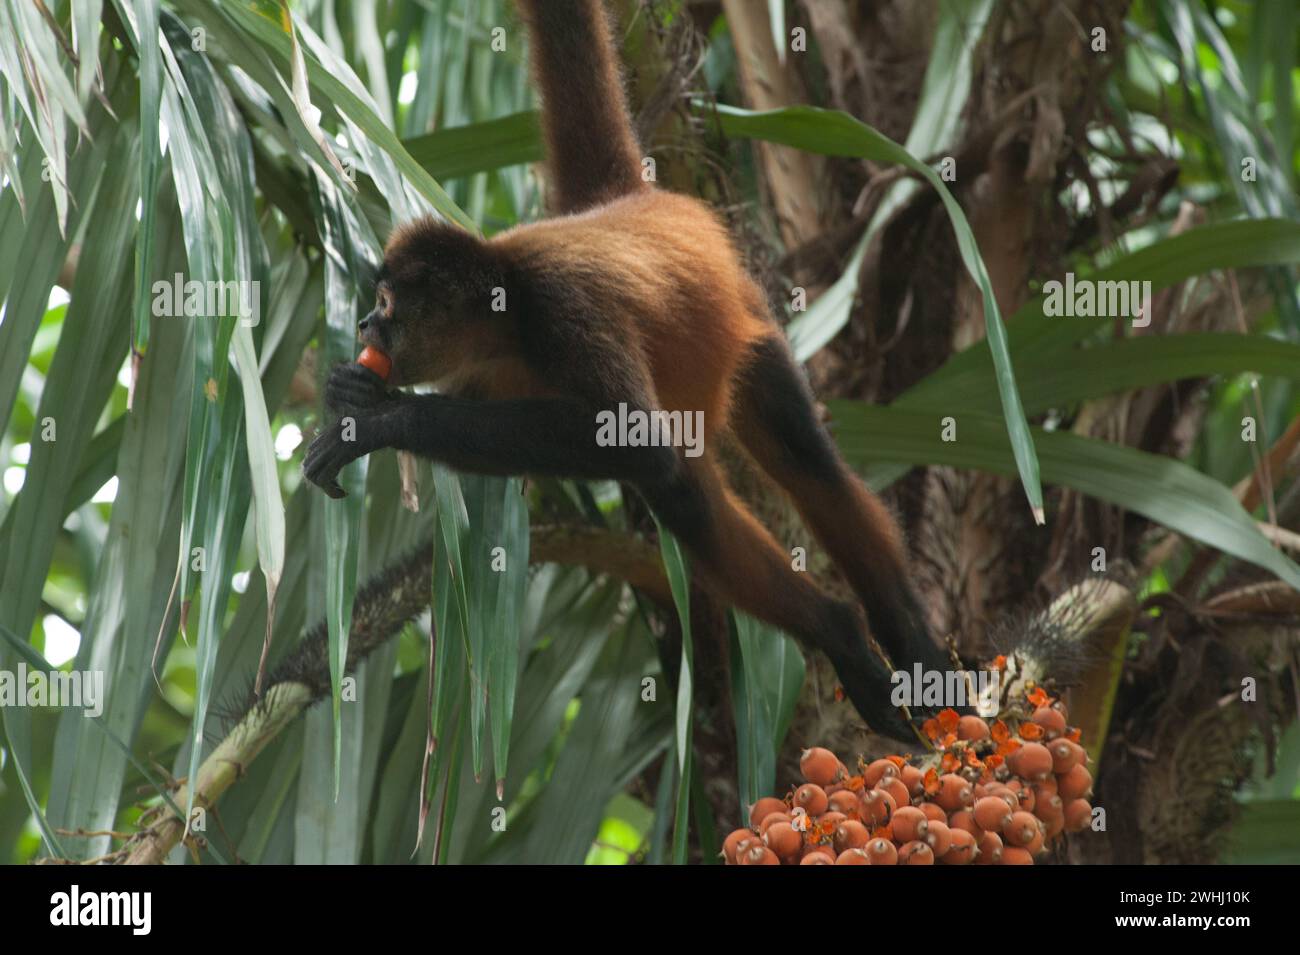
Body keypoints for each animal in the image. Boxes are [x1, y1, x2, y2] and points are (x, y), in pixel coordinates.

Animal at [305, 0, 956, 738]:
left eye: (386, 304)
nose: (364, 324)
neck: (507, 310)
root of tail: (629, 203)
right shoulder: (489, 373)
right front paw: (355, 389)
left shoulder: (564, 308)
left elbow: (635, 442)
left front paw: (383, 421)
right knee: (690, 497)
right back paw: (841, 630)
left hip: (745, 320)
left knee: (797, 464)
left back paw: (896, 643)